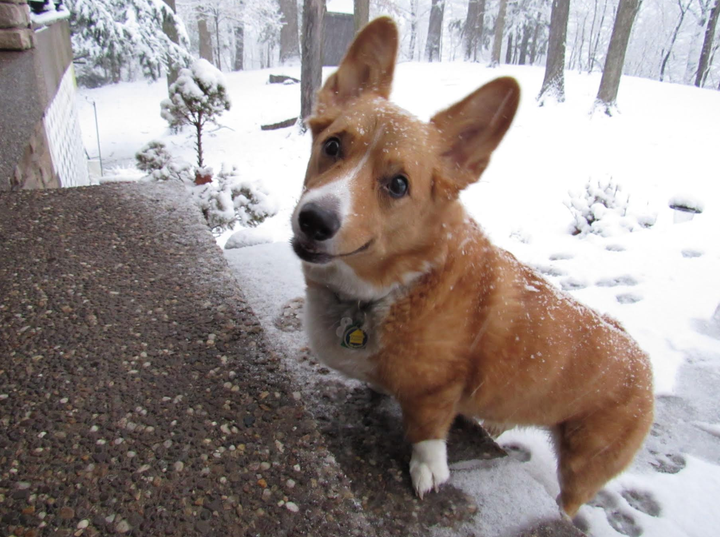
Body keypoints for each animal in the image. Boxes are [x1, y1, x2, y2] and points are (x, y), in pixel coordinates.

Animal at [290, 18, 656, 516]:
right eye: (332, 146)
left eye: (398, 184)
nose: (314, 220)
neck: (394, 287)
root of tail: (644, 363)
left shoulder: (437, 391)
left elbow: (426, 432)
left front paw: (427, 471)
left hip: (584, 462)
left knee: (571, 499)